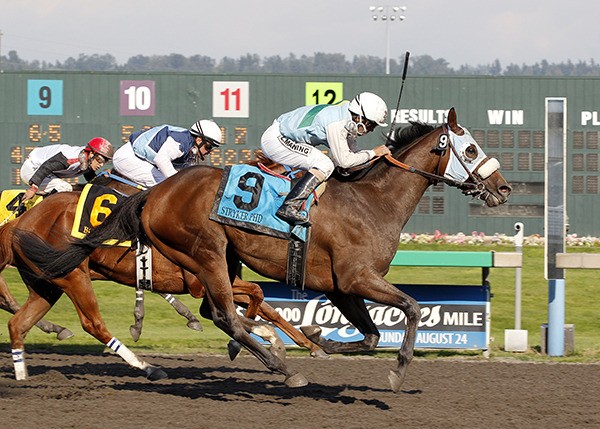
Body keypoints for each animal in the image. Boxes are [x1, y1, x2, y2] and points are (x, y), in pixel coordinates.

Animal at [15, 108, 510, 392]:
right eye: (469, 148)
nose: (503, 189)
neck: (373, 202)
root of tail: (153, 195)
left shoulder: (340, 287)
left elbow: (369, 335)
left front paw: (317, 338)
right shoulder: (358, 278)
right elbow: (412, 307)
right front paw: (397, 369)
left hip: (201, 261)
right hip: (204, 252)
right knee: (223, 315)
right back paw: (278, 367)